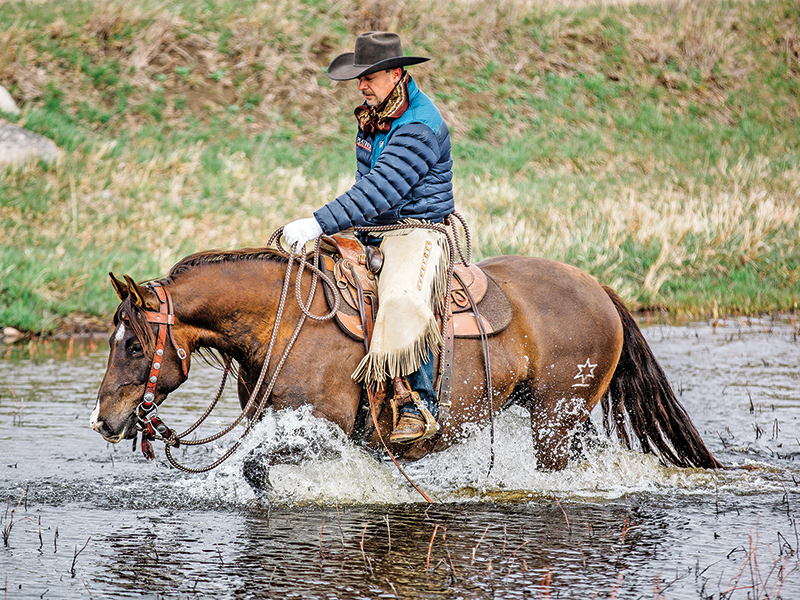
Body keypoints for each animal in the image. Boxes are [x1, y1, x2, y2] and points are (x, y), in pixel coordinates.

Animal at [91, 245, 721, 487]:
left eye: (135, 346)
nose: (104, 419)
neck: (285, 321)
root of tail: (599, 290)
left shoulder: (324, 431)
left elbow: (257, 469)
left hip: (553, 421)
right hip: (566, 417)